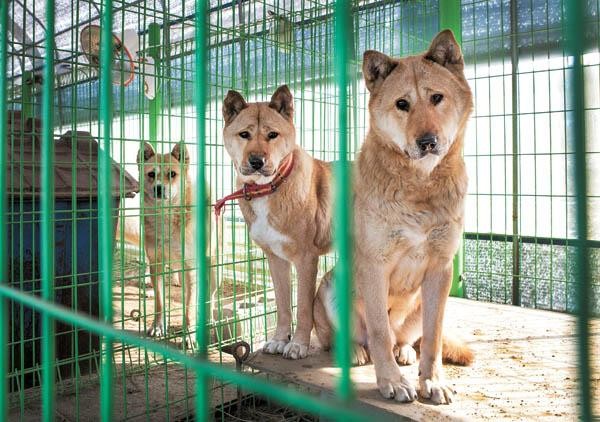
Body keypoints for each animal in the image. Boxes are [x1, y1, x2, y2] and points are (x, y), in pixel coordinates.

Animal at [137, 140, 196, 348]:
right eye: (151, 174)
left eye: (172, 174)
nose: (158, 188)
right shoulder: (156, 264)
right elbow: (160, 302)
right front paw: (157, 326)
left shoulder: (191, 268)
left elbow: (189, 308)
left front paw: (189, 336)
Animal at [218, 85, 332, 360]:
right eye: (244, 134)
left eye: (272, 135)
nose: (256, 161)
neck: (269, 189)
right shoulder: (276, 259)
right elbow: (282, 305)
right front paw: (280, 340)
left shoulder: (306, 259)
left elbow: (303, 308)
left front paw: (298, 344)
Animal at [314, 31, 474, 404]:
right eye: (402, 104)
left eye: (436, 98)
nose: (427, 141)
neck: (420, 187)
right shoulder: (376, 265)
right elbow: (379, 331)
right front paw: (392, 382)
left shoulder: (441, 269)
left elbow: (433, 336)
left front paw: (433, 381)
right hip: (329, 287)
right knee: (350, 338)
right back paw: (354, 351)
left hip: (418, 305)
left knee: (406, 338)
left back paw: (405, 352)